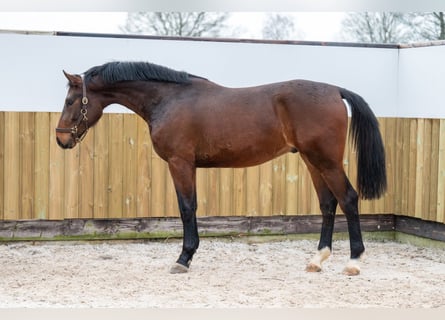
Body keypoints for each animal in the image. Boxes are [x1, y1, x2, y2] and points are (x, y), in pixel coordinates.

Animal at [56, 61, 386, 276]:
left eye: (71, 101)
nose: (61, 139)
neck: (169, 99)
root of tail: (335, 90)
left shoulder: (180, 163)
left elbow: (187, 208)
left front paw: (184, 258)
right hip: (312, 160)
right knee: (328, 204)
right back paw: (317, 260)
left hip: (326, 161)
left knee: (348, 199)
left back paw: (353, 261)